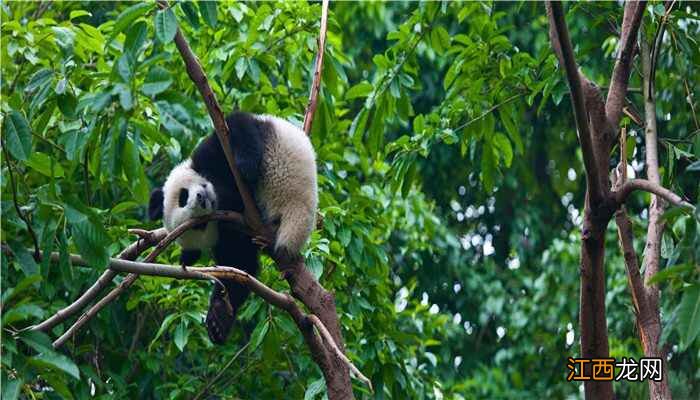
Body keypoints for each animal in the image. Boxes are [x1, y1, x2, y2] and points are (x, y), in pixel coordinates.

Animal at [150, 111, 320, 344]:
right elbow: (240, 265)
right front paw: (218, 319)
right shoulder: (230, 234)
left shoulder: (211, 154)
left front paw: (245, 166)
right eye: (199, 225)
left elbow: (235, 125)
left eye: (183, 197)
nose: (201, 199)